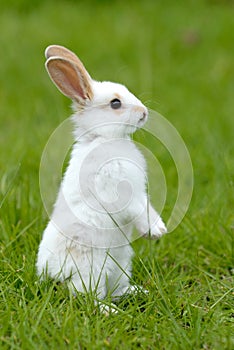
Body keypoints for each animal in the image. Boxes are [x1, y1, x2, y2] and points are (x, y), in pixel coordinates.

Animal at [37, 45, 166, 302]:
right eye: (115, 104)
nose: (144, 112)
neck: (104, 139)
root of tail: (52, 273)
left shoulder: (140, 192)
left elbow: (147, 205)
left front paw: (160, 228)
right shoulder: (119, 192)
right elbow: (137, 209)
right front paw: (155, 232)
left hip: (122, 263)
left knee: (114, 290)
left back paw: (138, 292)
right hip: (91, 268)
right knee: (87, 297)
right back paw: (110, 308)